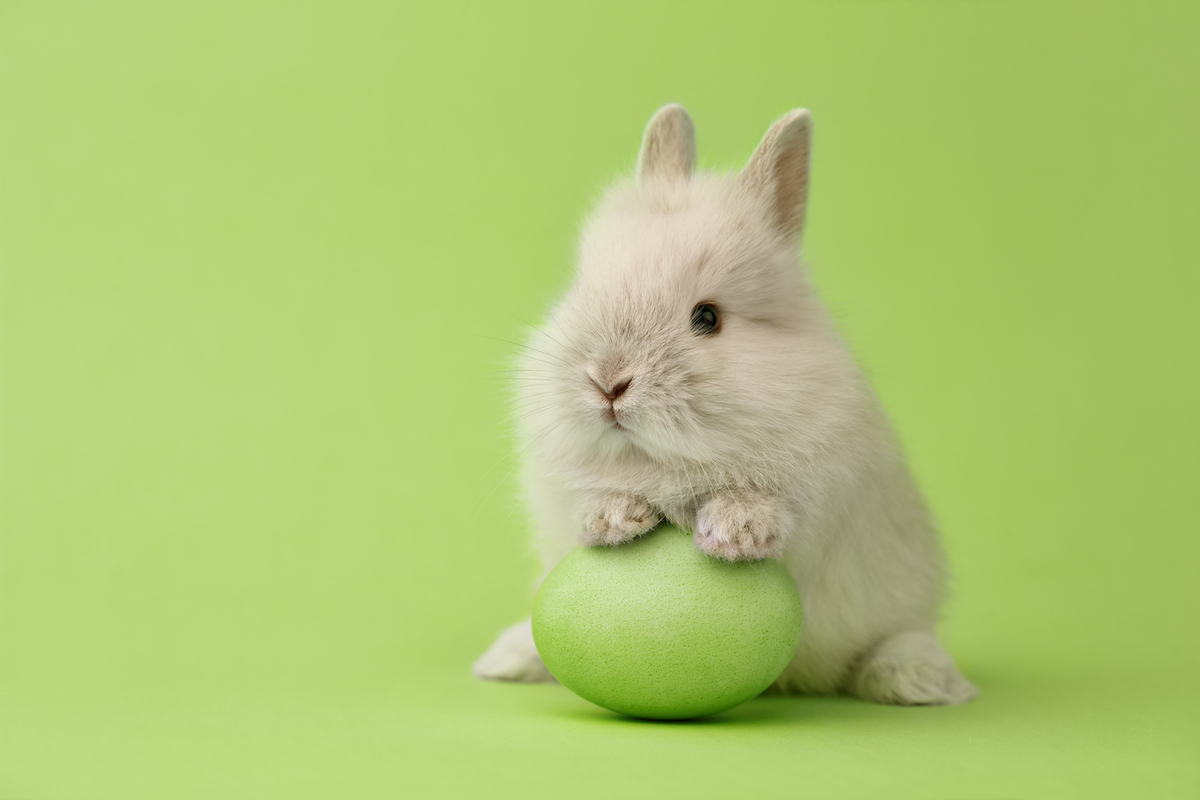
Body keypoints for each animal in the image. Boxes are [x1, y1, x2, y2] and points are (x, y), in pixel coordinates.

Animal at [472, 101, 979, 705]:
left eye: (707, 318)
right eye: (583, 290)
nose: (607, 382)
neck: (664, 463)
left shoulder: (822, 491)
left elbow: (773, 508)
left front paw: (732, 535)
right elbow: (590, 502)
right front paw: (616, 518)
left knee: (896, 637)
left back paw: (924, 680)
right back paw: (505, 659)